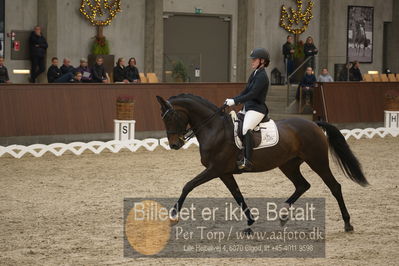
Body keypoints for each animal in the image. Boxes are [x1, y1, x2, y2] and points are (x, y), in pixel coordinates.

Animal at [156, 93, 368, 233]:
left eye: (172, 116)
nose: (174, 145)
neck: (214, 128)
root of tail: (314, 124)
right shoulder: (224, 172)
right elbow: (238, 196)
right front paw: (250, 222)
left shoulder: (214, 169)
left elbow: (188, 185)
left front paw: (173, 216)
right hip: (288, 165)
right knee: (302, 185)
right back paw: (283, 215)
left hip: (317, 161)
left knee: (334, 187)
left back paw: (347, 224)